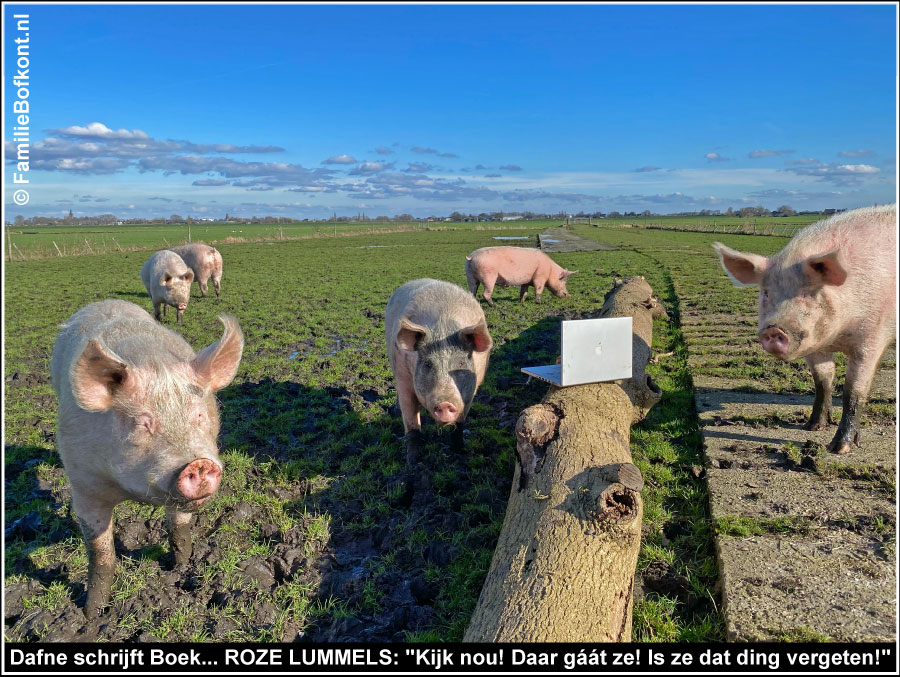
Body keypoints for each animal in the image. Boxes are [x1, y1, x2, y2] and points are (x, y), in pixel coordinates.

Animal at [382, 278, 492, 462]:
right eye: (428, 364)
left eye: (461, 363)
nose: (445, 403)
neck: (443, 329)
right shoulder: (404, 378)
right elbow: (412, 425)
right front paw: (413, 462)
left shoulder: (471, 390)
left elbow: (459, 423)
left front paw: (459, 451)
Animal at [712, 203, 896, 452]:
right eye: (766, 293)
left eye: (807, 293)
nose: (774, 330)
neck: (837, 336)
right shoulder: (815, 346)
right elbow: (823, 381)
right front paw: (812, 427)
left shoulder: (872, 337)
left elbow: (854, 392)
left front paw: (839, 448)